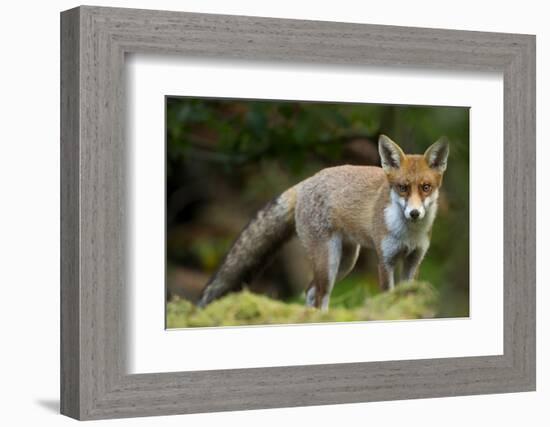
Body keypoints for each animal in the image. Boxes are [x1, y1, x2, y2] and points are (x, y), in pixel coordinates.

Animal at [198, 135, 448, 312]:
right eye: (403, 188)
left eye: (426, 187)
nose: (414, 213)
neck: (409, 234)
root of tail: (305, 182)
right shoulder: (385, 261)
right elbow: (388, 296)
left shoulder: (414, 260)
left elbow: (408, 296)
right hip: (328, 261)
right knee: (318, 295)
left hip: (345, 262)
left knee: (310, 292)